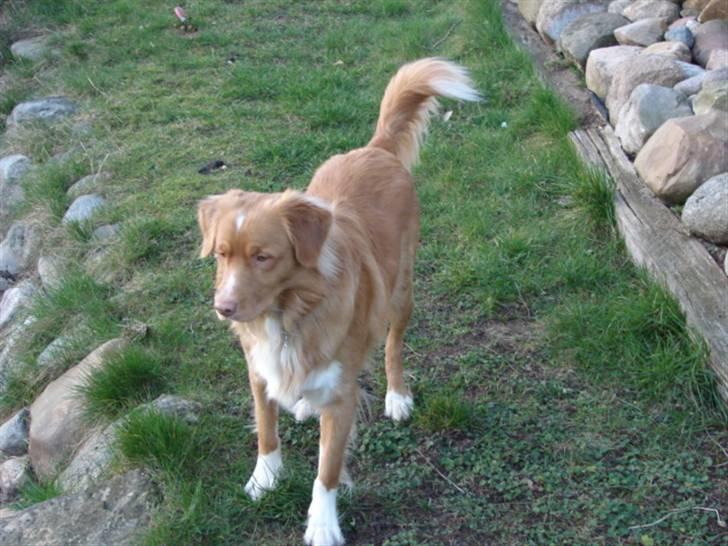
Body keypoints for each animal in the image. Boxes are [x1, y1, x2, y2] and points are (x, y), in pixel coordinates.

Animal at [198, 57, 478, 540]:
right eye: (221, 254)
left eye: (263, 257)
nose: (224, 309)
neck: (288, 315)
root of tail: (377, 149)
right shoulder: (259, 372)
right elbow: (266, 431)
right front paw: (264, 478)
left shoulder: (342, 398)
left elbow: (327, 469)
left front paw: (323, 523)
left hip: (402, 292)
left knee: (394, 344)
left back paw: (397, 396)